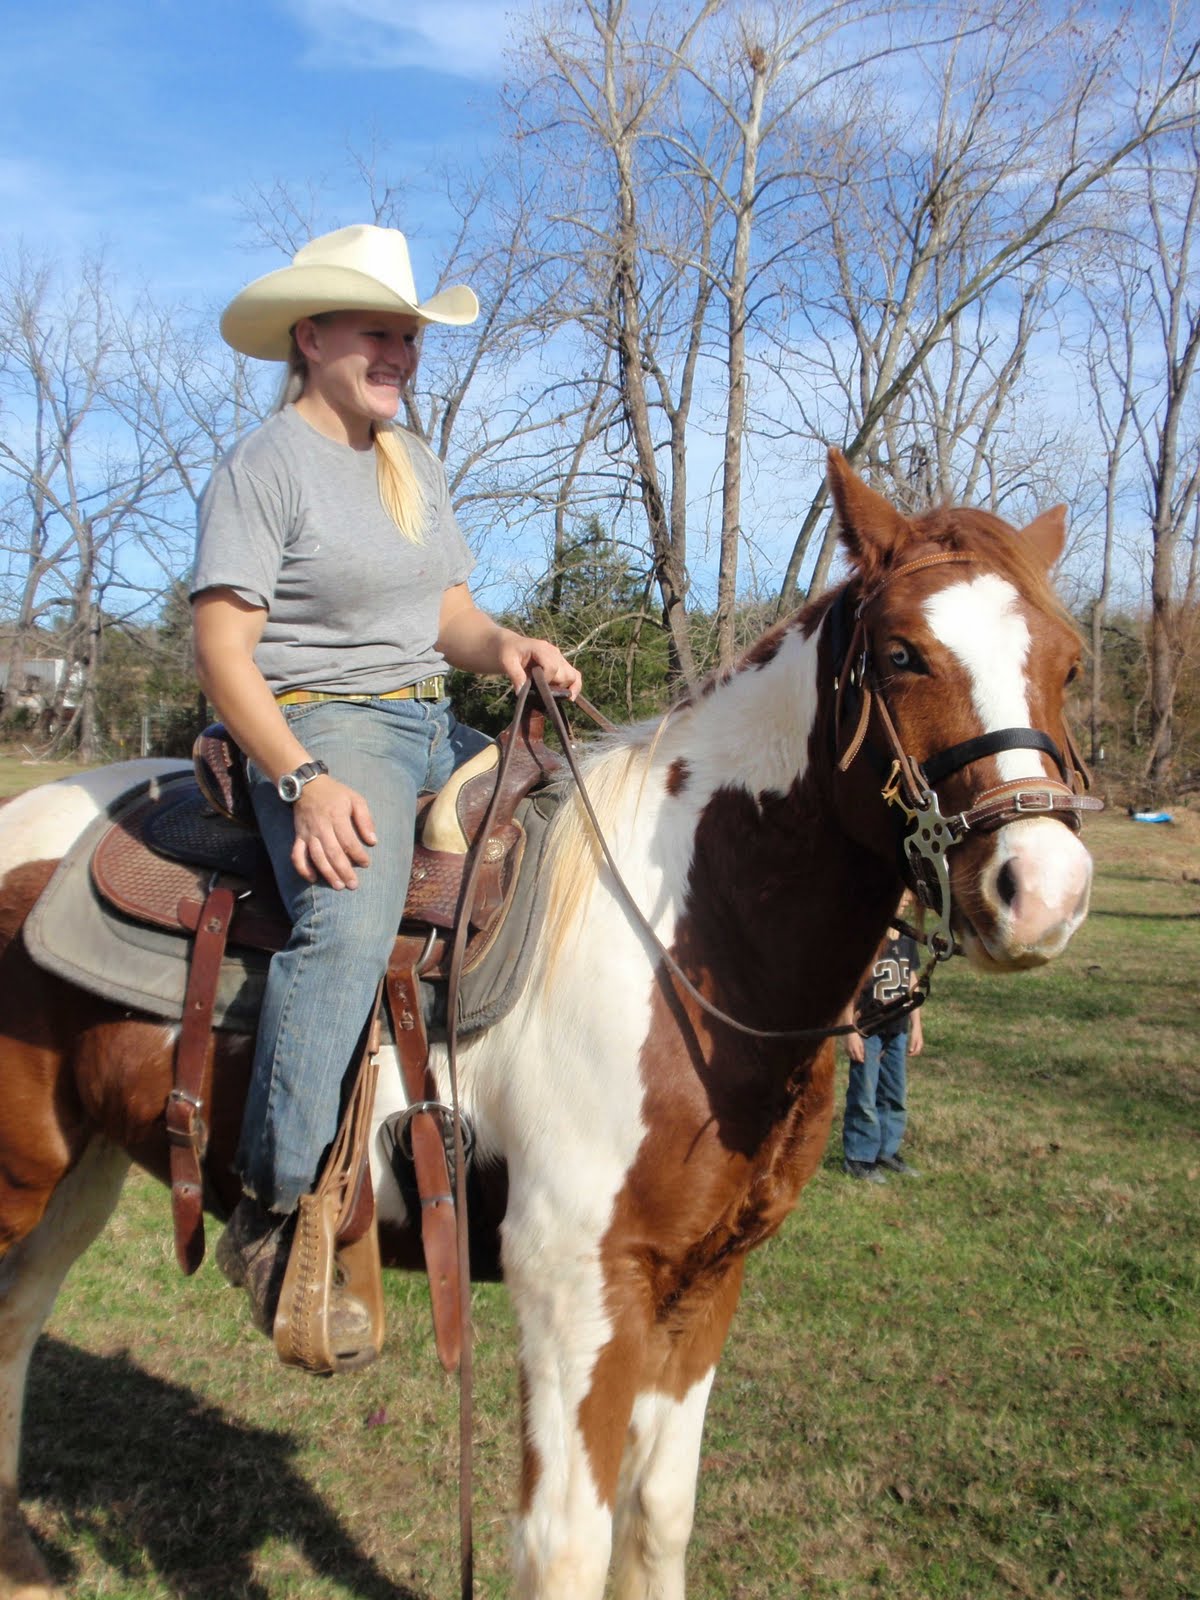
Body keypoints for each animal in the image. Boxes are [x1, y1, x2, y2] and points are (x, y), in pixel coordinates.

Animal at [0, 452, 1097, 1600]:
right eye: (902, 654)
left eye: (1069, 664)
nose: (1043, 892)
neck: (684, 938)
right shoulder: (577, 1292)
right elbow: (568, 1543)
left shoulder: (702, 1287)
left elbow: (660, 1519)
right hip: (25, 1170)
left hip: (82, 1171)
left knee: (18, 1319)